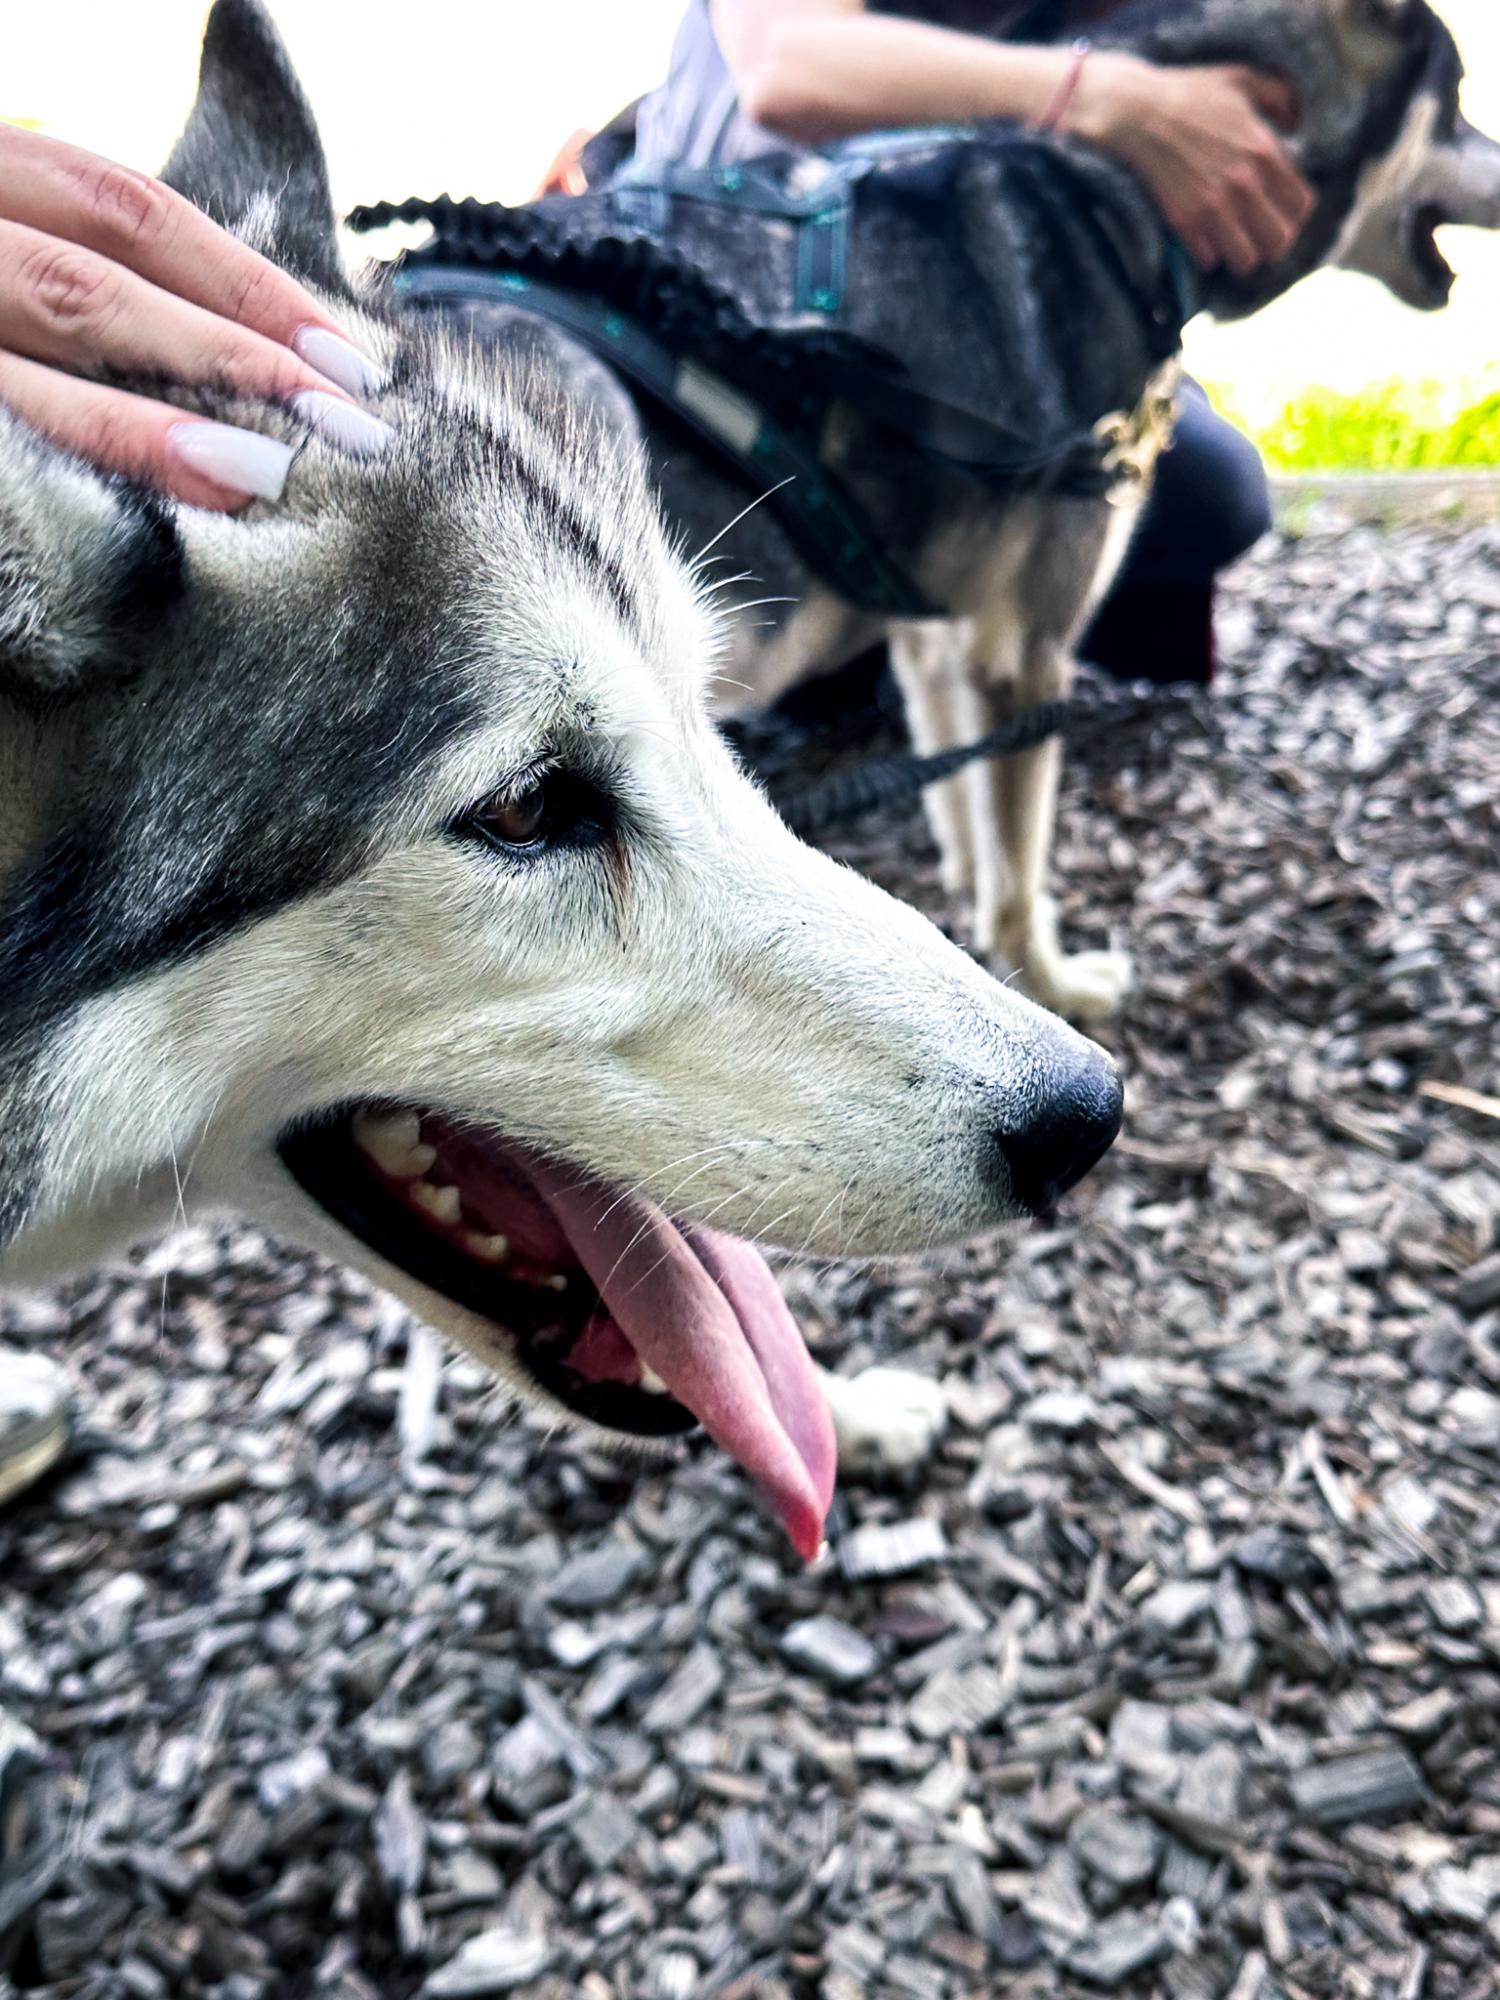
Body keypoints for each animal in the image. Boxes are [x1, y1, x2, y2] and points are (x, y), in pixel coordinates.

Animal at [394, 0, 1500, 1032]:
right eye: (1456, 102)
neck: (1121, 203)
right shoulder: (1028, 654)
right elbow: (1020, 862)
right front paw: (1048, 977)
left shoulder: (935, 635)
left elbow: (963, 808)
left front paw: (965, 912)